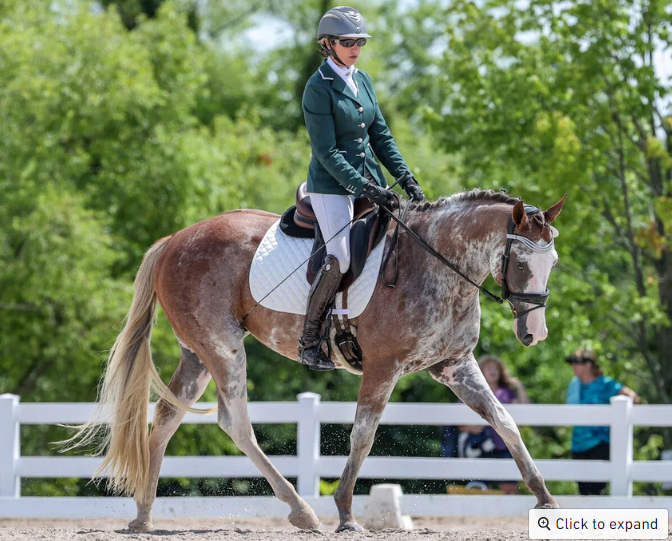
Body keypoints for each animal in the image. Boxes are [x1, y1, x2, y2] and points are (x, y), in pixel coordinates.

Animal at [68, 189, 564, 532]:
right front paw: (345, 513)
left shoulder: (455, 365)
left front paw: (544, 498)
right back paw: (301, 510)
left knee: (167, 418)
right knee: (235, 423)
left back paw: (143, 515)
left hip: (197, 355)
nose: (534, 334)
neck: (438, 267)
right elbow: (363, 436)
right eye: (521, 263)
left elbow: (505, 422)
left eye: (553, 262)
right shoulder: (383, 368)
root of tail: (176, 239)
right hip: (223, 348)